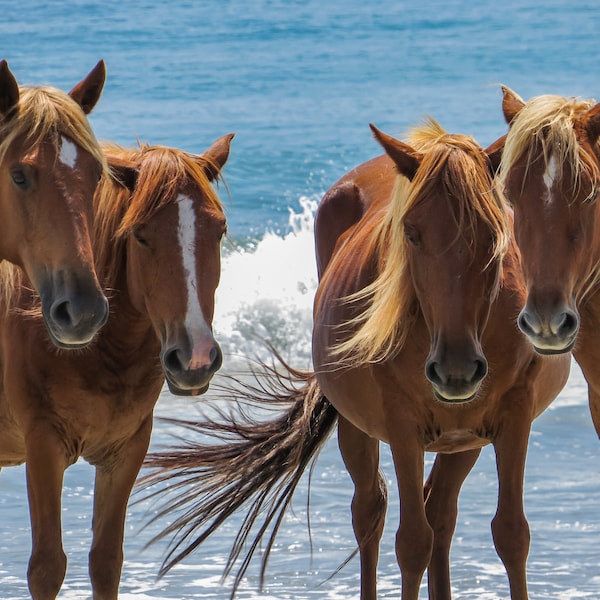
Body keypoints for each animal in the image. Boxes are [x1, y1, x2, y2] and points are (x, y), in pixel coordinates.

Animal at [0, 132, 232, 600]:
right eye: (140, 236)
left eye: (219, 230)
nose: (195, 358)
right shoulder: (43, 447)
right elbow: (47, 567)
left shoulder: (126, 452)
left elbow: (106, 561)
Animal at [142, 120, 572, 600]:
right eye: (412, 232)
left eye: (494, 232)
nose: (456, 369)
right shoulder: (402, 426)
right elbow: (412, 543)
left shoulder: (514, 418)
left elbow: (512, 534)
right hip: (358, 425)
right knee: (371, 513)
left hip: (464, 440)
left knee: (441, 512)